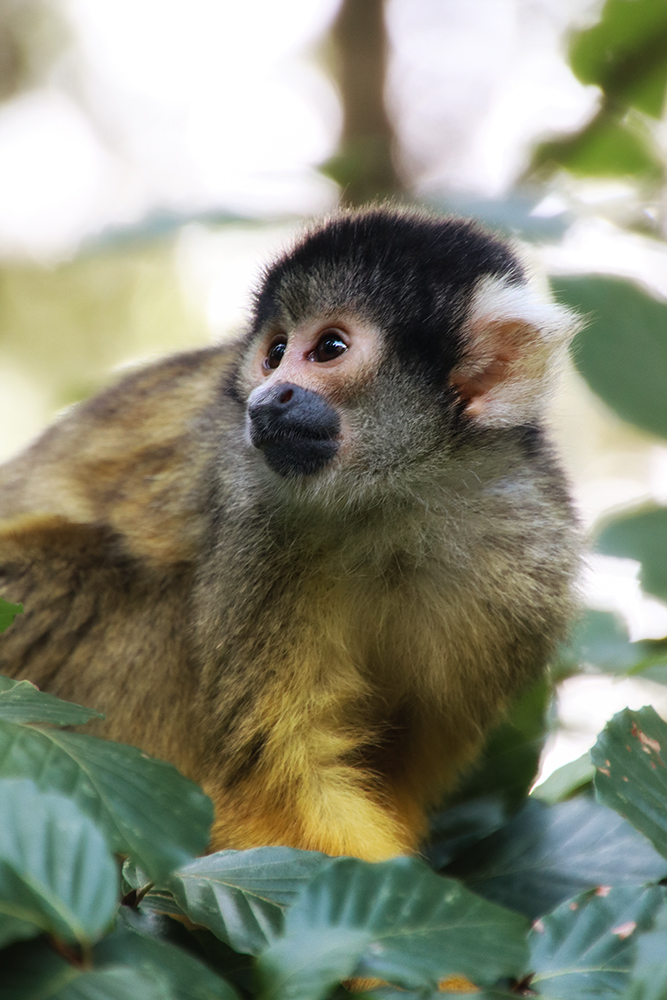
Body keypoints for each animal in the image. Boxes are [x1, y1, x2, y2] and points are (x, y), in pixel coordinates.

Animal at [0, 207, 580, 864]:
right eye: (275, 353)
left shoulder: (528, 555)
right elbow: (277, 778)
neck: (393, 504)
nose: (265, 397)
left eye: (329, 349)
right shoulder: (259, 514)